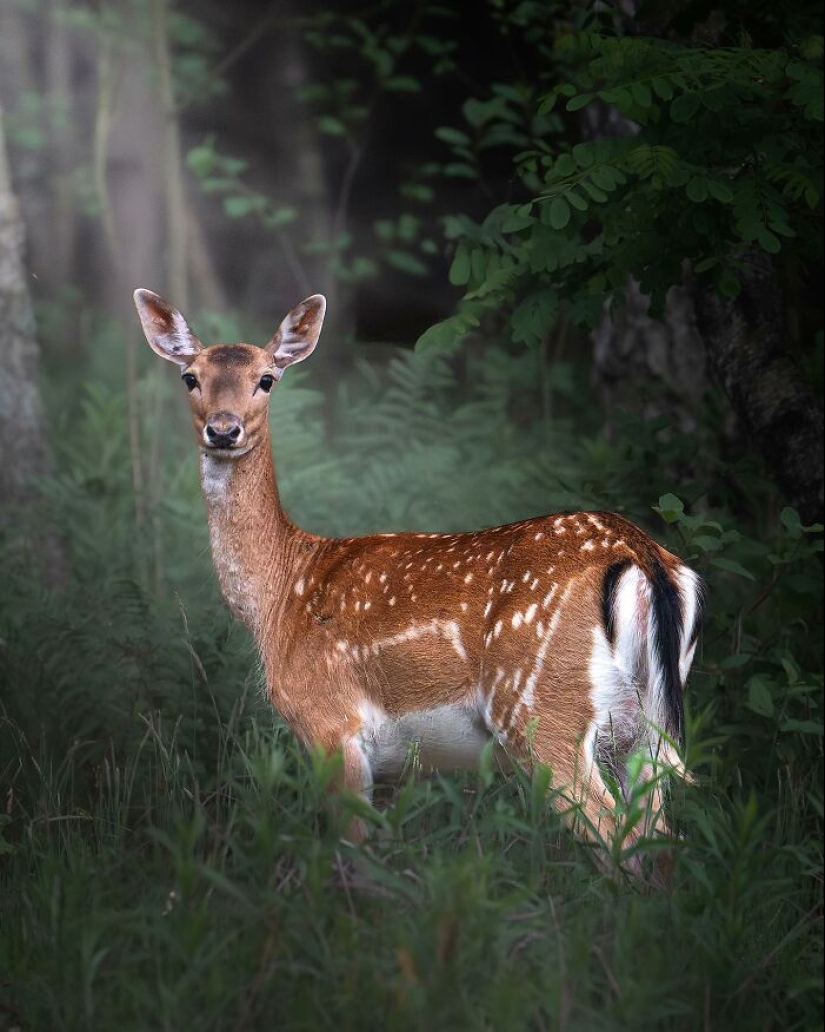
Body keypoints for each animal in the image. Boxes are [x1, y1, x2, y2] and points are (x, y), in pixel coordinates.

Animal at [134, 288, 702, 871]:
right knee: (661, 841)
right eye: (190, 377)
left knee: (617, 837)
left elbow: (352, 859)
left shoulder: (329, 721)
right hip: (648, 724)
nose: (223, 429)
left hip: (540, 706)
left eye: (267, 378)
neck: (280, 595)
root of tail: (642, 556)